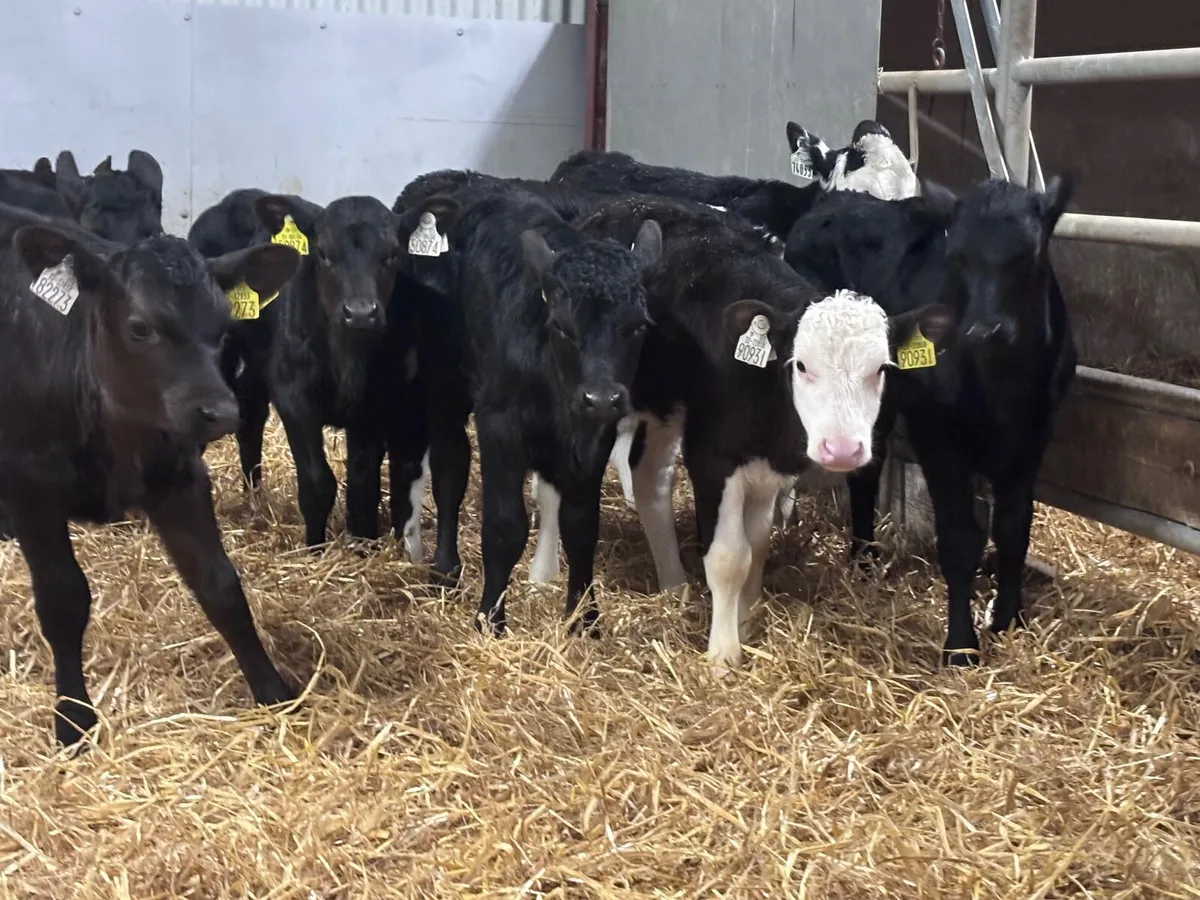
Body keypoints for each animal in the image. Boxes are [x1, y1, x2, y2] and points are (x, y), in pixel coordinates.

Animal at [0, 200, 301, 746]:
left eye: (224, 328)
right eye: (140, 327)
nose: (221, 411)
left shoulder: (179, 477)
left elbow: (220, 585)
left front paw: (273, 692)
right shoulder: (29, 488)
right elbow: (62, 598)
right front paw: (73, 720)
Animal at [525, 195, 953, 667]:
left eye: (881, 368)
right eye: (801, 365)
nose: (841, 449)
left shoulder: (767, 466)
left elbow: (759, 542)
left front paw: (746, 619)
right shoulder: (713, 456)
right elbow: (730, 556)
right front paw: (724, 654)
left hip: (666, 408)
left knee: (650, 477)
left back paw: (673, 582)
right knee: (554, 482)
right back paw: (543, 575)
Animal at [784, 176, 1077, 665]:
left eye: (1029, 255)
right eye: (955, 256)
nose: (983, 331)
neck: (1000, 388)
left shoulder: (1034, 438)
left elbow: (1013, 529)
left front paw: (1008, 618)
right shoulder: (939, 440)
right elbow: (959, 539)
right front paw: (960, 645)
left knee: (866, 468)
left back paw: (865, 557)